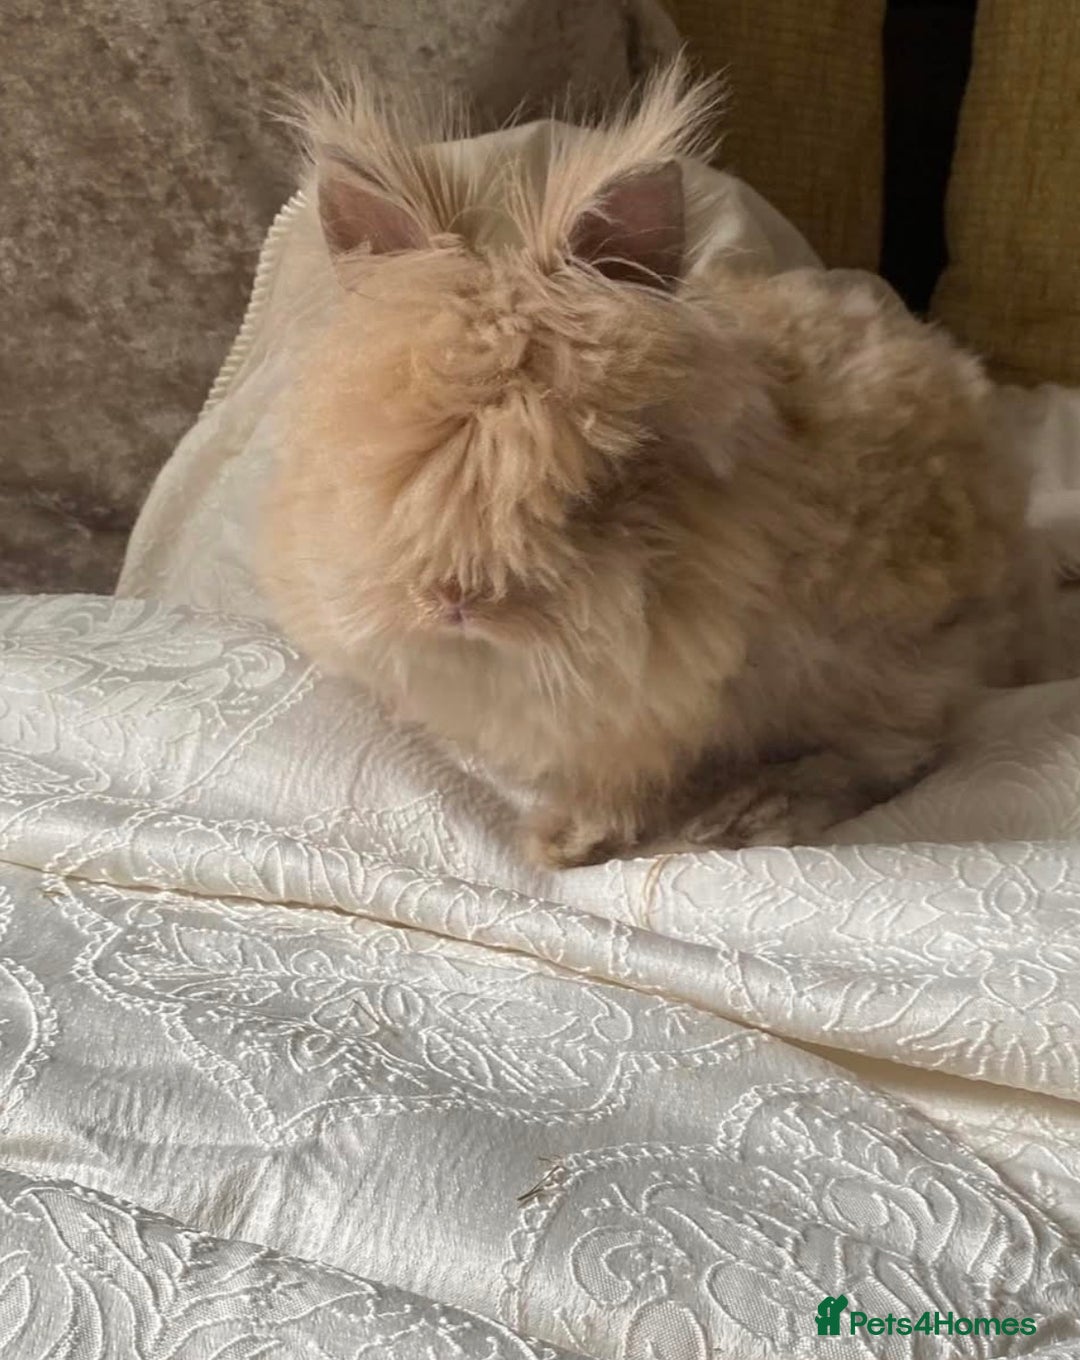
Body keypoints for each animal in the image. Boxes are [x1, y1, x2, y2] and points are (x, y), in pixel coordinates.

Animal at [260, 63, 1041, 869]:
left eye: (592, 484)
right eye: (388, 465)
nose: (457, 602)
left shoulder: (648, 712)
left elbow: (625, 782)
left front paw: (561, 843)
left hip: (895, 665)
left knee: (889, 753)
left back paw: (749, 815)